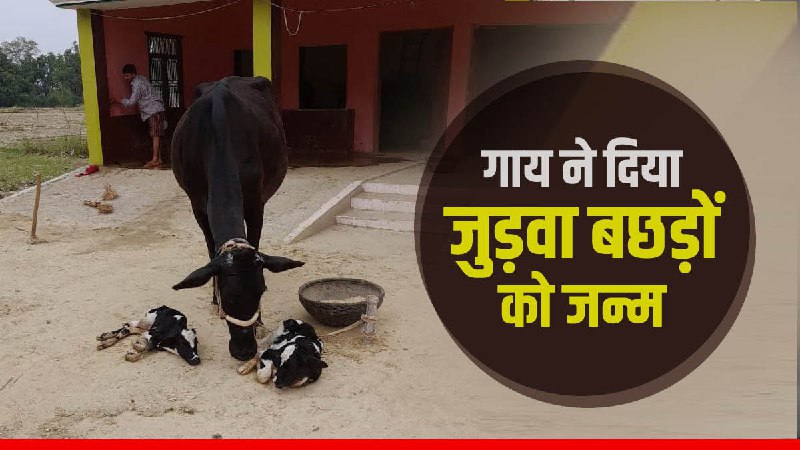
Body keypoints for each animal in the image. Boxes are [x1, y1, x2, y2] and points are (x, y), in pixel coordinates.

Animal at [170, 76, 304, 361]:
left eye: (261, 292)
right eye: (227, 297)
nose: (244, 350)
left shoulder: (256, 203)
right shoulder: (197, 205)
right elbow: (211, 250)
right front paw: (212, 297)